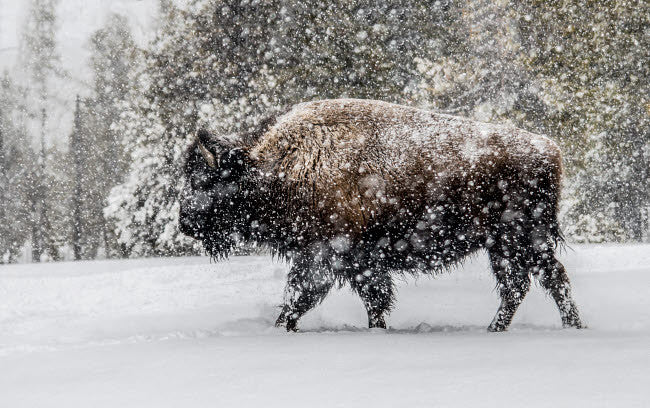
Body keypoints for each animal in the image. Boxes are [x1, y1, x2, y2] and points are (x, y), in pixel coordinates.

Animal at [179, 99, 583, 332]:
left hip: (521, 238)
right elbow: (371, 297)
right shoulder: (356, 261)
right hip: (503, 246)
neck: (277, 164)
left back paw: (567, 328)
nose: (184, 222)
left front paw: (281, 327)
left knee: (548, 280)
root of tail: (550, 148)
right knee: (523, 284)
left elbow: (301, 294)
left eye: (204, 179)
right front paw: (377, 329)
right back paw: (503, 328)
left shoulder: (327, 255)